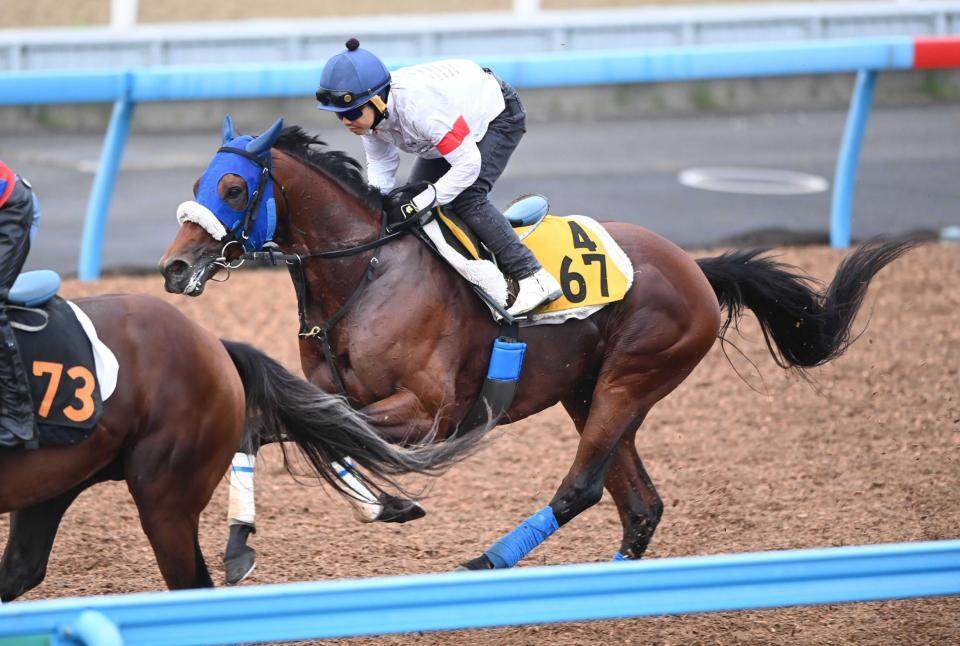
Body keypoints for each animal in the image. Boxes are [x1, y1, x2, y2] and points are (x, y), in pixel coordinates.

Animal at [161, 117, 920, 572]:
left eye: (234, 187)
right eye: (196, 182)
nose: (172, 267)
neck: (367, 271)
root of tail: (695, 268)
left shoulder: (428, 409)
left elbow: (321, 430)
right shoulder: (333, 392)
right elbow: (292, 426)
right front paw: (367, 511)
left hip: (630, 380)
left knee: (583, 488)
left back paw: (488, 563)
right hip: (589, 393)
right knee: (639, 504)